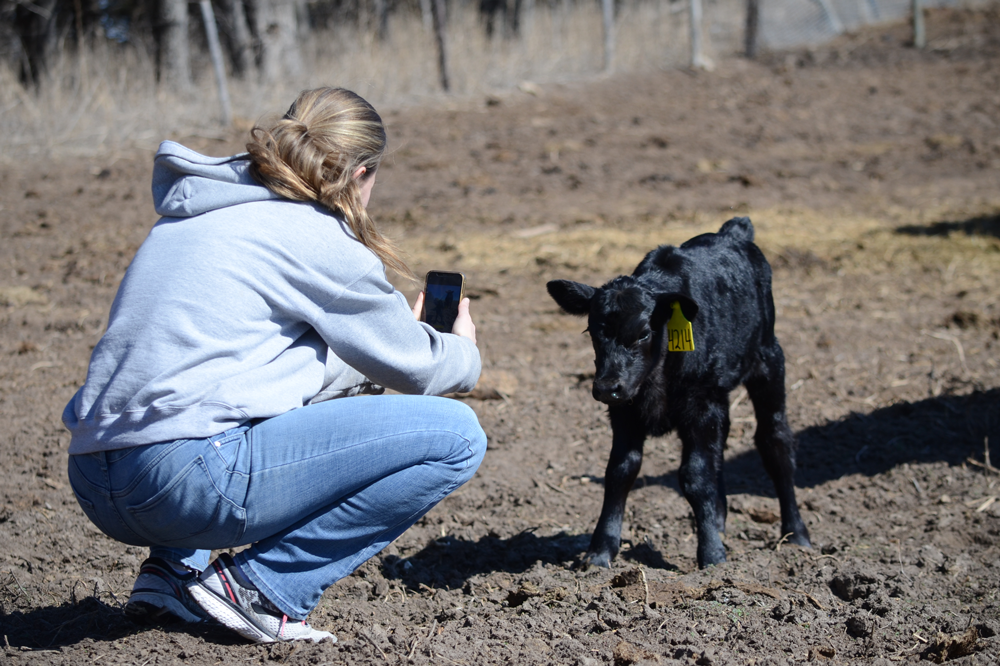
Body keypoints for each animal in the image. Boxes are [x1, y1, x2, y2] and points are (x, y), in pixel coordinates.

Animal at [548, 217, 812, 564]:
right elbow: (620, 471)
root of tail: (733, 231)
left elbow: (695, 475)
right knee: (721, 443)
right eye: (592, 330)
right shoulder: (625, 410)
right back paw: (719, 518)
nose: (606, 387)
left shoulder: (700, 405)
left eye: (644, 332)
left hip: (768, 362)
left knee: (775, 441)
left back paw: (796, 534)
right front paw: (601, 550)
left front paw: (712, 554)